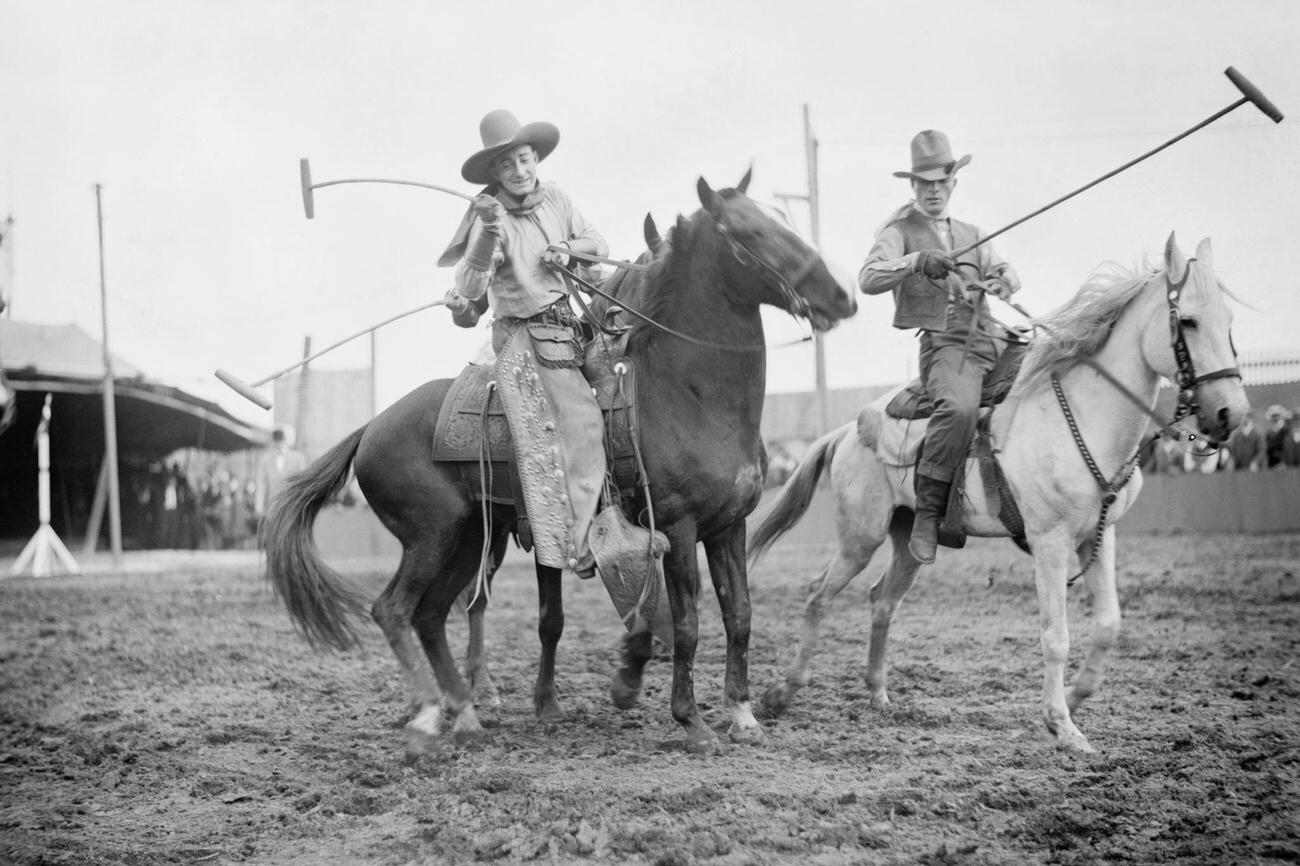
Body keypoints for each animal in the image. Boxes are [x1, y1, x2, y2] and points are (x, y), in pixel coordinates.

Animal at [263, 171, 857, 754]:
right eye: (752, 233)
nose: (842, 295)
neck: (686, 395)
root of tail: (370, 428)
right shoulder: (677, 528)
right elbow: (687, 622)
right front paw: (690, 720)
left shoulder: (728, 526)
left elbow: (740, 616)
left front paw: (742, 713)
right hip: (431, 536)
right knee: (394, 609)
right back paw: (432, 714)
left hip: (466, 538)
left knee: (431, 615)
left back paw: (466, 712)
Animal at [754, 234, 1248, 748]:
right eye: (1188, 320)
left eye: (1229, 321)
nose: (1231, 413)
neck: (1083, 414)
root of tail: (848, 430)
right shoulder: (1050, 541)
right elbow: (1056, 636)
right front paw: (1062, 725)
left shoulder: (1100, 535)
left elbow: (1109, 625)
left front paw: (1073, 700)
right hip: (860, 538)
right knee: (818, 595)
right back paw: (781, 694)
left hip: (908, 540)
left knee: (882, 601)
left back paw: (878, 694)